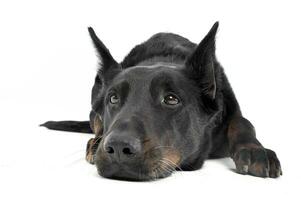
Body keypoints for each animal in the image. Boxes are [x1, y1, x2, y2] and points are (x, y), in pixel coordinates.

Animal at [41, 22, 282, 181]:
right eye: (113, 98)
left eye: (171, 99)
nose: (118, 147)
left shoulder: (232, 109)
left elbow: (243, 122)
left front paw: (254, 150)